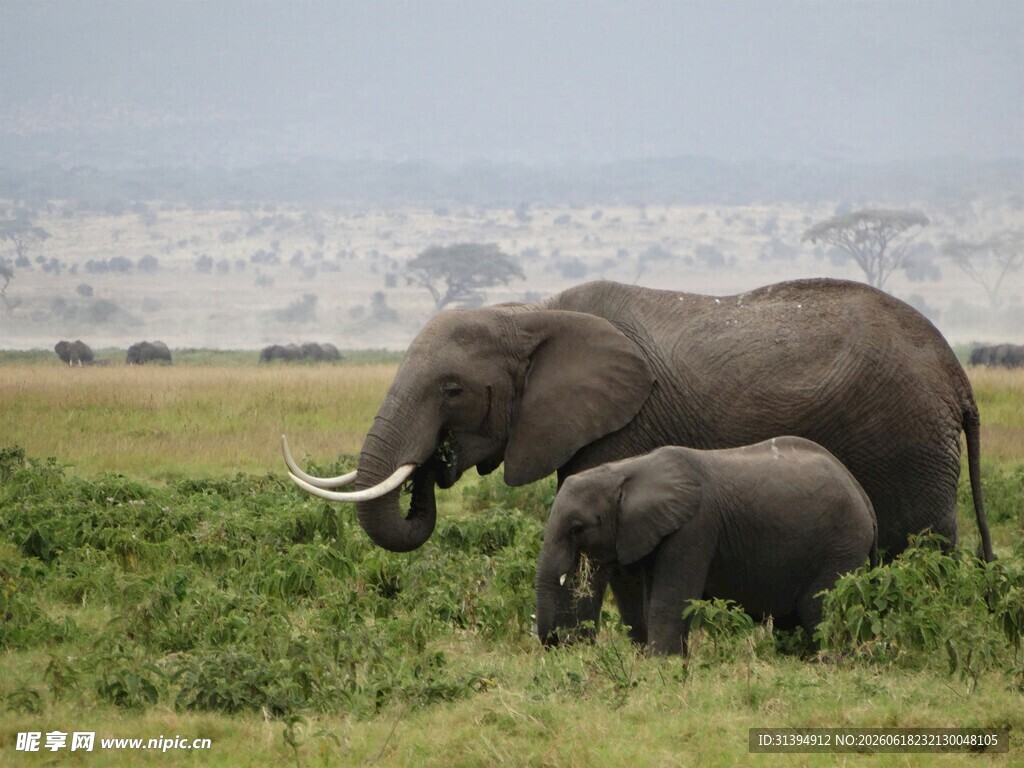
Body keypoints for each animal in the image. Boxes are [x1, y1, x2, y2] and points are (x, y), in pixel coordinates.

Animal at [535, 437, 878, 654]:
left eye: (577, 528)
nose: (557, 644)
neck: (627, 470)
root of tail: (864, 498)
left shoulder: (695, 527)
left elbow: (669, 602)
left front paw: (662, 666)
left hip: (842, 545)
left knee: (821, 613)